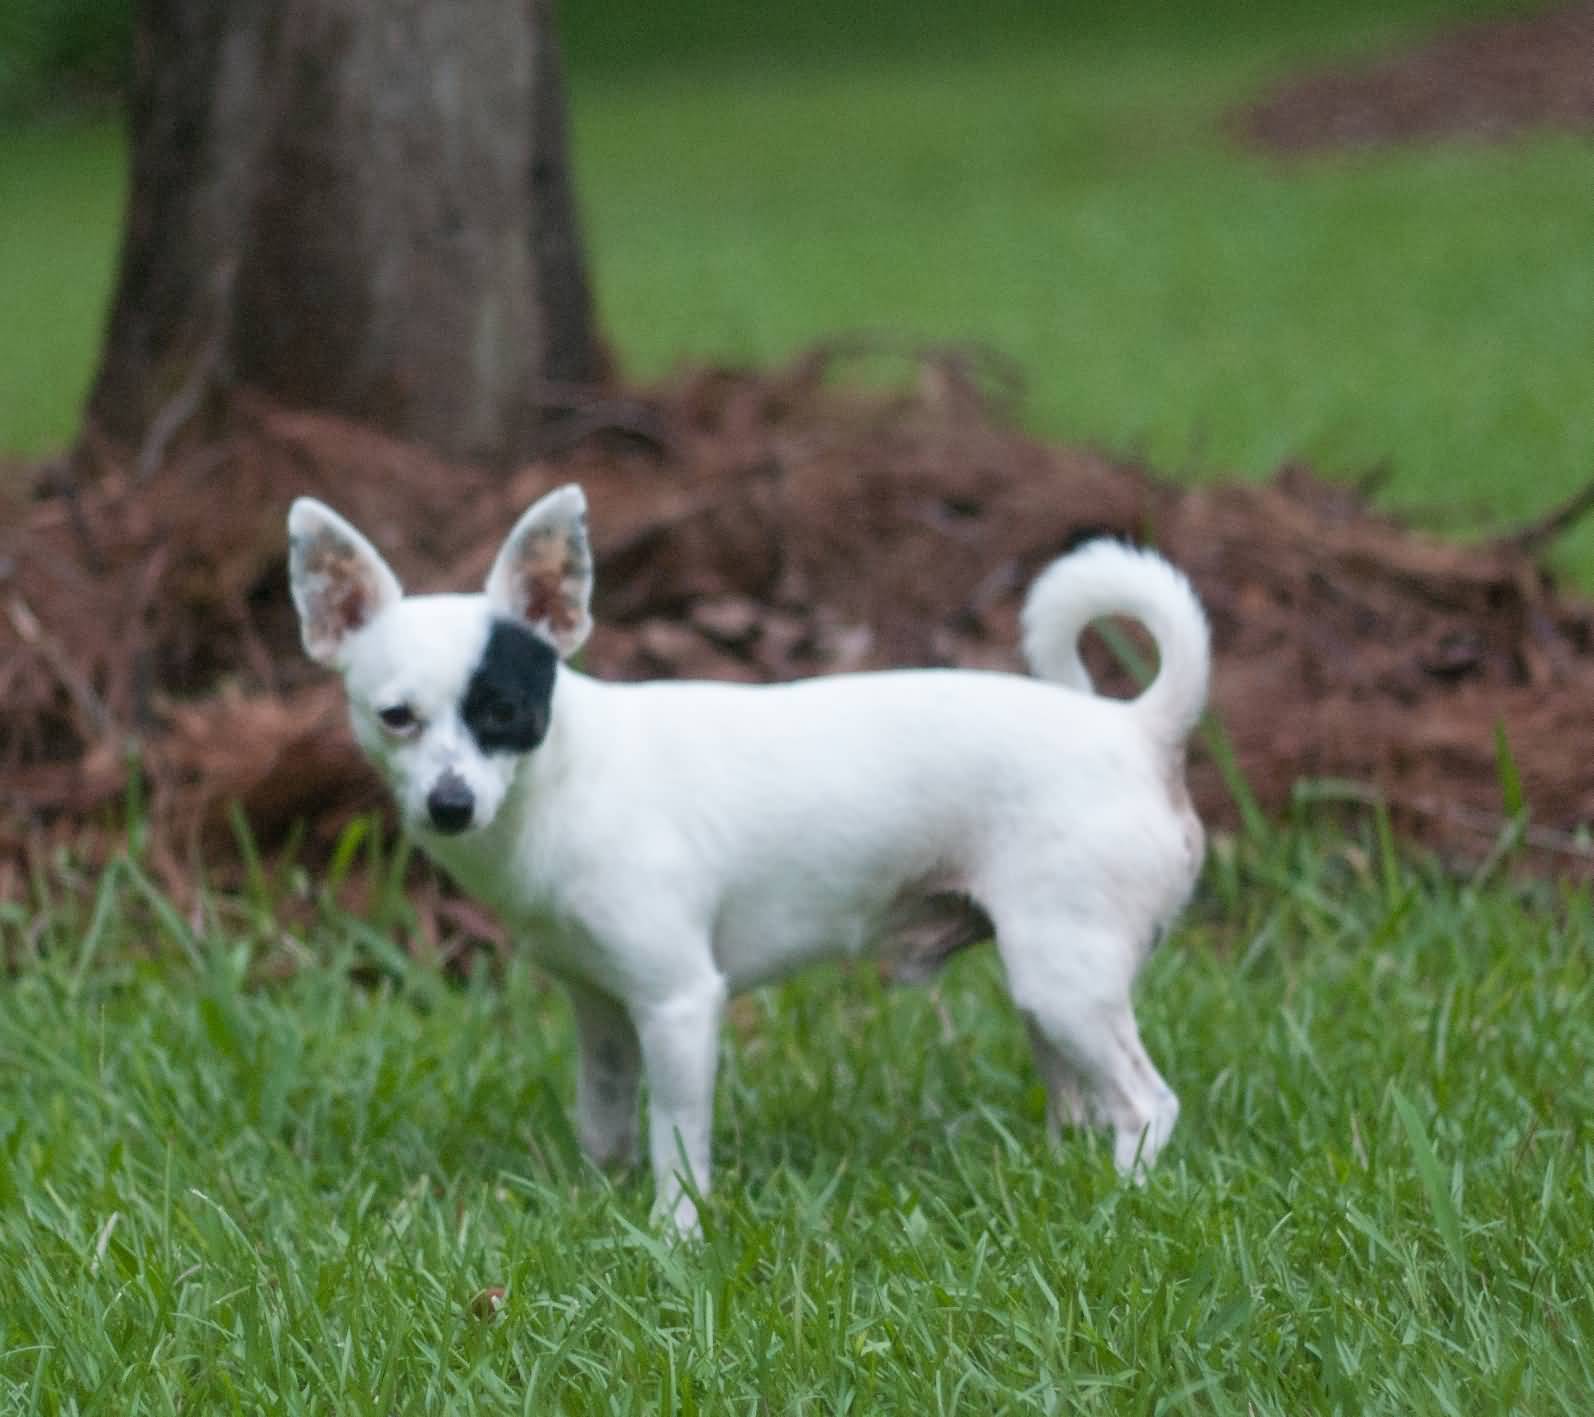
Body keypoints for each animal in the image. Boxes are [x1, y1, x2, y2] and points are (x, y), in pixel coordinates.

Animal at [286, 484, 1205, 1230]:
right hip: (1045, 985)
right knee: (1081, 1100)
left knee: (1148, 1103)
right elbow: (606, 1120)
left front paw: (674, 1237)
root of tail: (1138, 730)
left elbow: (677, 1141)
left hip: (1064, 979)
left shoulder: (680, 1004)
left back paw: (1119, 1200)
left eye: (504, 711)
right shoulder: (603, 1008)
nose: (450, 803)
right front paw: (598, 1199)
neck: (565, 779)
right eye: (396, 717)